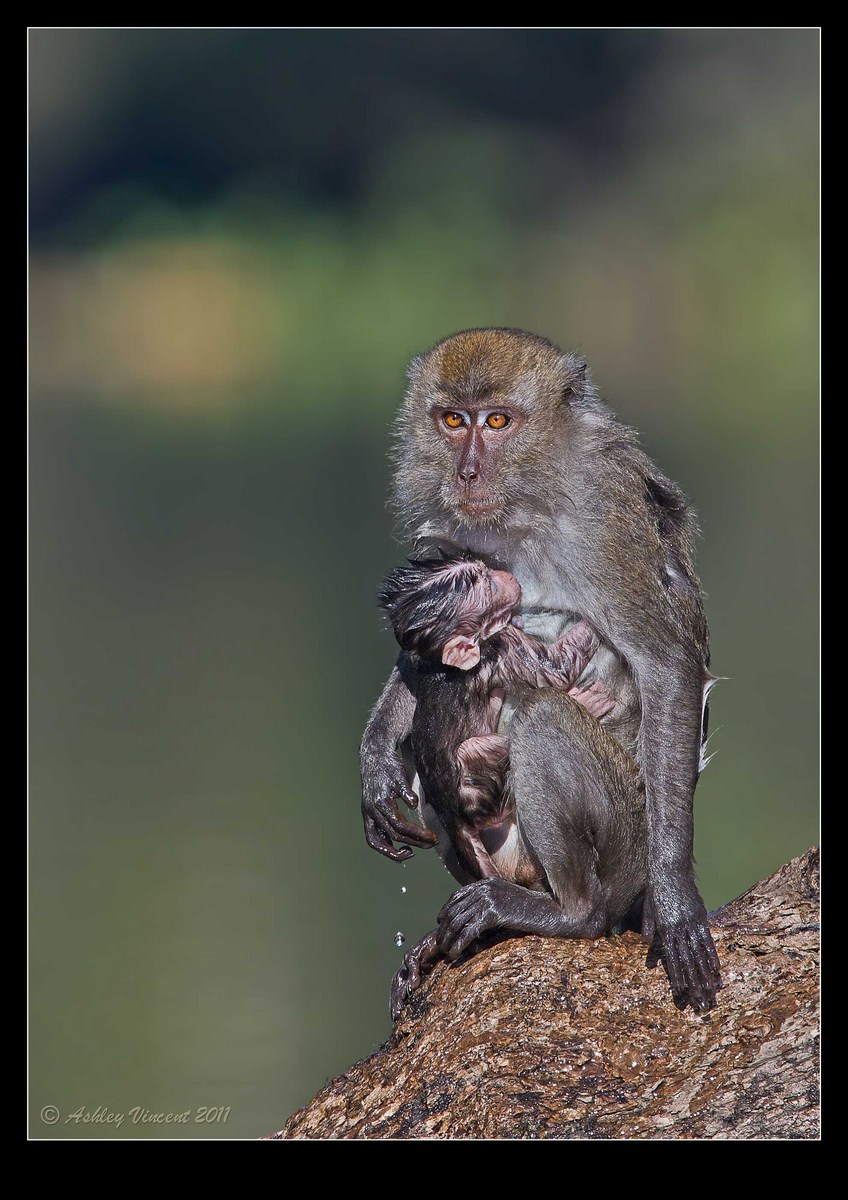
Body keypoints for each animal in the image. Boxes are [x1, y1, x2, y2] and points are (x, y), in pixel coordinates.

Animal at [378, 552, 615, 882]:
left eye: (484, 571)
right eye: (488, 586)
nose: (505, 576)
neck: (440, 663)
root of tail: (453, 819)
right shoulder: (503, 646)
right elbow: (556, 668)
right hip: (476, 792)